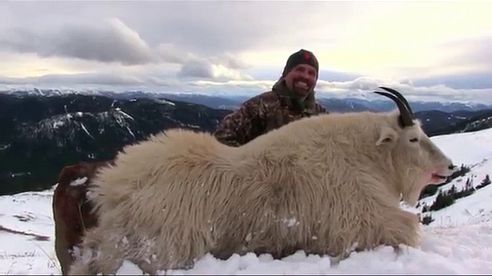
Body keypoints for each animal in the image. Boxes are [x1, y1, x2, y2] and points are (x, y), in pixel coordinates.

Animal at [68, 87, 454, 274]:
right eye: (414, 138)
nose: (448, 166)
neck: (364, 157)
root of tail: (113, 191)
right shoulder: (361, 221)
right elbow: (407, 229)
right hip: (160, 249)